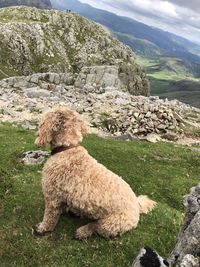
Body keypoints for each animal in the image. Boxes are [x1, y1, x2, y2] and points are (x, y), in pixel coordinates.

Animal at [32, 107, 156, 241]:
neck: (67, 148)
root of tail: (137, 206)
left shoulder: (51, 196)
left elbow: (49, 217)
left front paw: (42, 228)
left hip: (110, 223)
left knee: (96, 226)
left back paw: (83, 231)